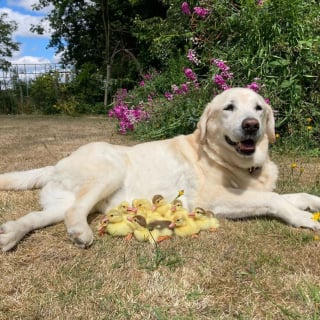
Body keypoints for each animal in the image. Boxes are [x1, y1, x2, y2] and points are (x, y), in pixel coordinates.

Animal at [0, 87, 320, 250]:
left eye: (258, 109)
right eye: (229, 108)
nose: (251, 125)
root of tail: (57, 163)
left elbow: (298, 195)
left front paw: (312, 203)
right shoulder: (214, 199)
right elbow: (274, 199)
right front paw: (304, 219)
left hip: (58, 202)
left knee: (41, 215)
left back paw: (10, 234)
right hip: (110, 169)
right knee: (74, 212)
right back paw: (80, 232)